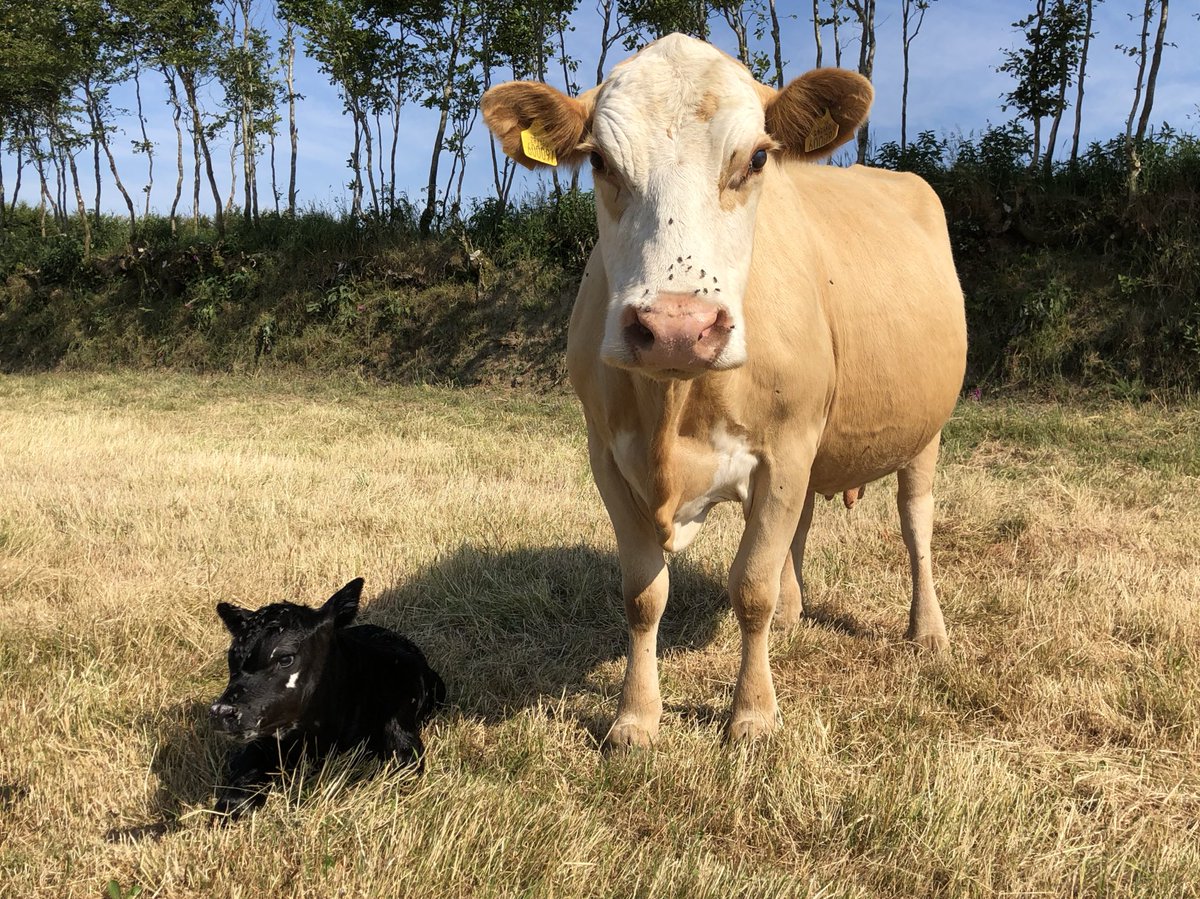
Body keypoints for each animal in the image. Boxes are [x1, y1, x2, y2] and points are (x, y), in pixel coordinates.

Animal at [481, 34, 967, 748]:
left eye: (757, 157)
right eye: (598, 160)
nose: (677, 329)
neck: (673, 410)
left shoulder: (785, 447)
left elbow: (752, 588)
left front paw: (754, 715)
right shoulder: (608, 455)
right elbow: (643, 594)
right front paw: (635, 717)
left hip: (924, 431)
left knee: (916, 525)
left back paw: (926, 628)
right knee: (803, 525)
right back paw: (796, 613)